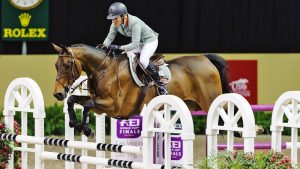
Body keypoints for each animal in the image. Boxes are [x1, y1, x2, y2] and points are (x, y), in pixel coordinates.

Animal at [52, 43, 230, 137]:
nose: (58, 93)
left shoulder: (113, 107)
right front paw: (74, 123)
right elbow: (74, 100)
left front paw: (87, 129)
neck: (104, 69)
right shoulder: (100, 105)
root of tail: (205, 58)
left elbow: (88, 104)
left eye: (67, 65)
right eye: (56, 66)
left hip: (211, 102)